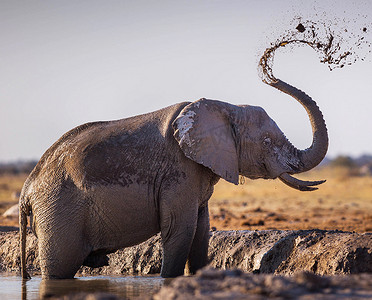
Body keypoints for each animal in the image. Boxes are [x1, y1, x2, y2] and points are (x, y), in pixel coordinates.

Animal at [19, 78, 328, 280]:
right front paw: (169, 281)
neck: (224, 107)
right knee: (59, 268)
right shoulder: (179, 171)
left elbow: (201, 232)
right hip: (58, 210)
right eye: (266, 142)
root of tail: (27, 189)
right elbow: (180, 230)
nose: (269, 75)